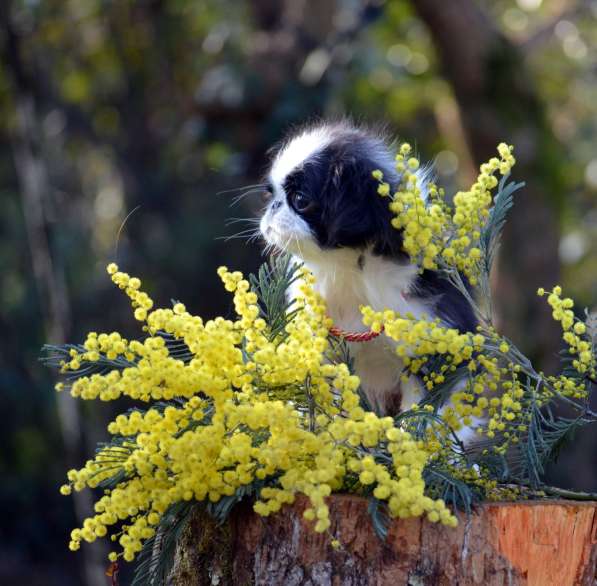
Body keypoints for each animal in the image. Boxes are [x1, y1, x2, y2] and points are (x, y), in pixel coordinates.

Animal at [258, 120, 478, 428]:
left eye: (300, 200)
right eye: (271, 194)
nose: (272, 207)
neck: (348, 272)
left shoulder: (432, 348)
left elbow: (420, 416)